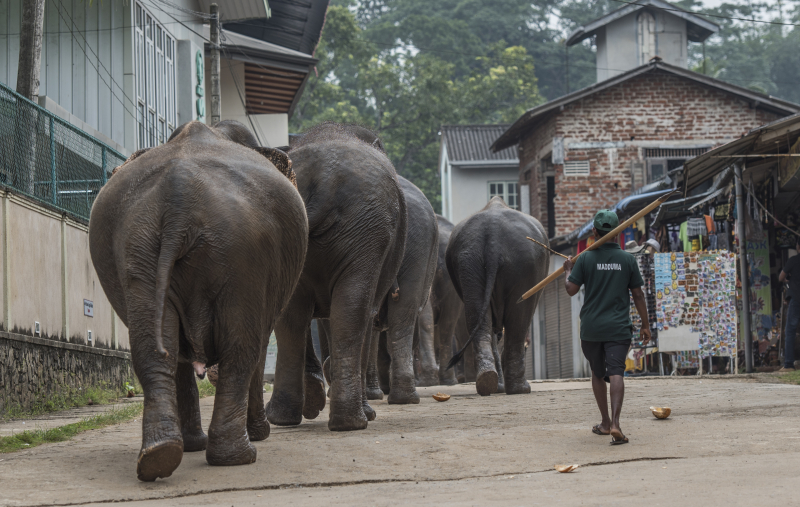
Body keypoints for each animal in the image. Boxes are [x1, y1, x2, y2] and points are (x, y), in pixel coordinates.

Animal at [90, 121, 310, 482]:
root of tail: (178, 199)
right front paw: (258, 435)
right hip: (245, 255)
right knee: (241, 351)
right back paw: (237, 456)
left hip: (140, 245)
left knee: (157, 347)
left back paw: (159, 456)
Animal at [268, 122, 410, 428]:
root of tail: (323, 181)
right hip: (367, 232)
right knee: (354, 310)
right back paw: (354, 421)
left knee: (292, 318)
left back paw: (283, 417)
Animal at [444, 197, 552, 396]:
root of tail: (494, 239)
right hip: (526, 261)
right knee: (520, 318)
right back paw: (520, 389)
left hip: (469, 261)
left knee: (477, 316)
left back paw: (487, 381)